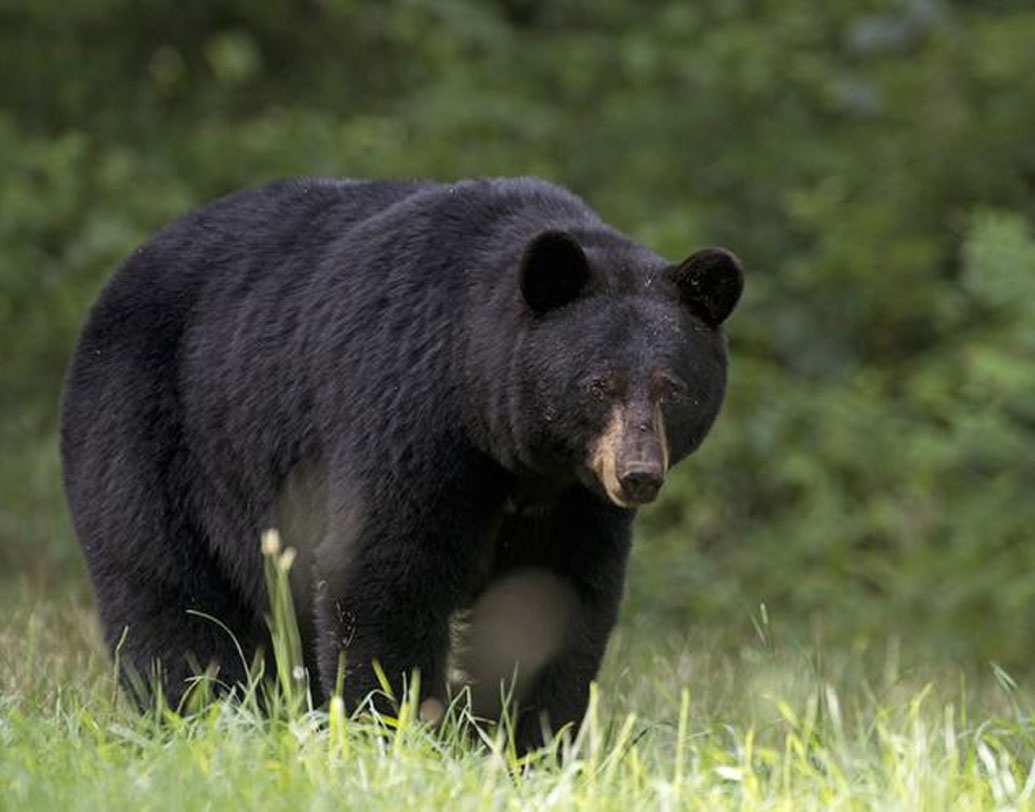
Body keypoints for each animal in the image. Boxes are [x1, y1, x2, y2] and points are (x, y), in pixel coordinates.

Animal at [60, 177, 741, 748]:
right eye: (599, 385)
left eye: (673, 388)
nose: (637, 475)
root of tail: (121, 274)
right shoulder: (405, 410)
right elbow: (383, 572)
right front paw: (393, 733)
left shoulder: (573, 499)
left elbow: (556, 598)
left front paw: (528, 744)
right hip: (151, 431)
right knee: (167, 591)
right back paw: (200, 716)